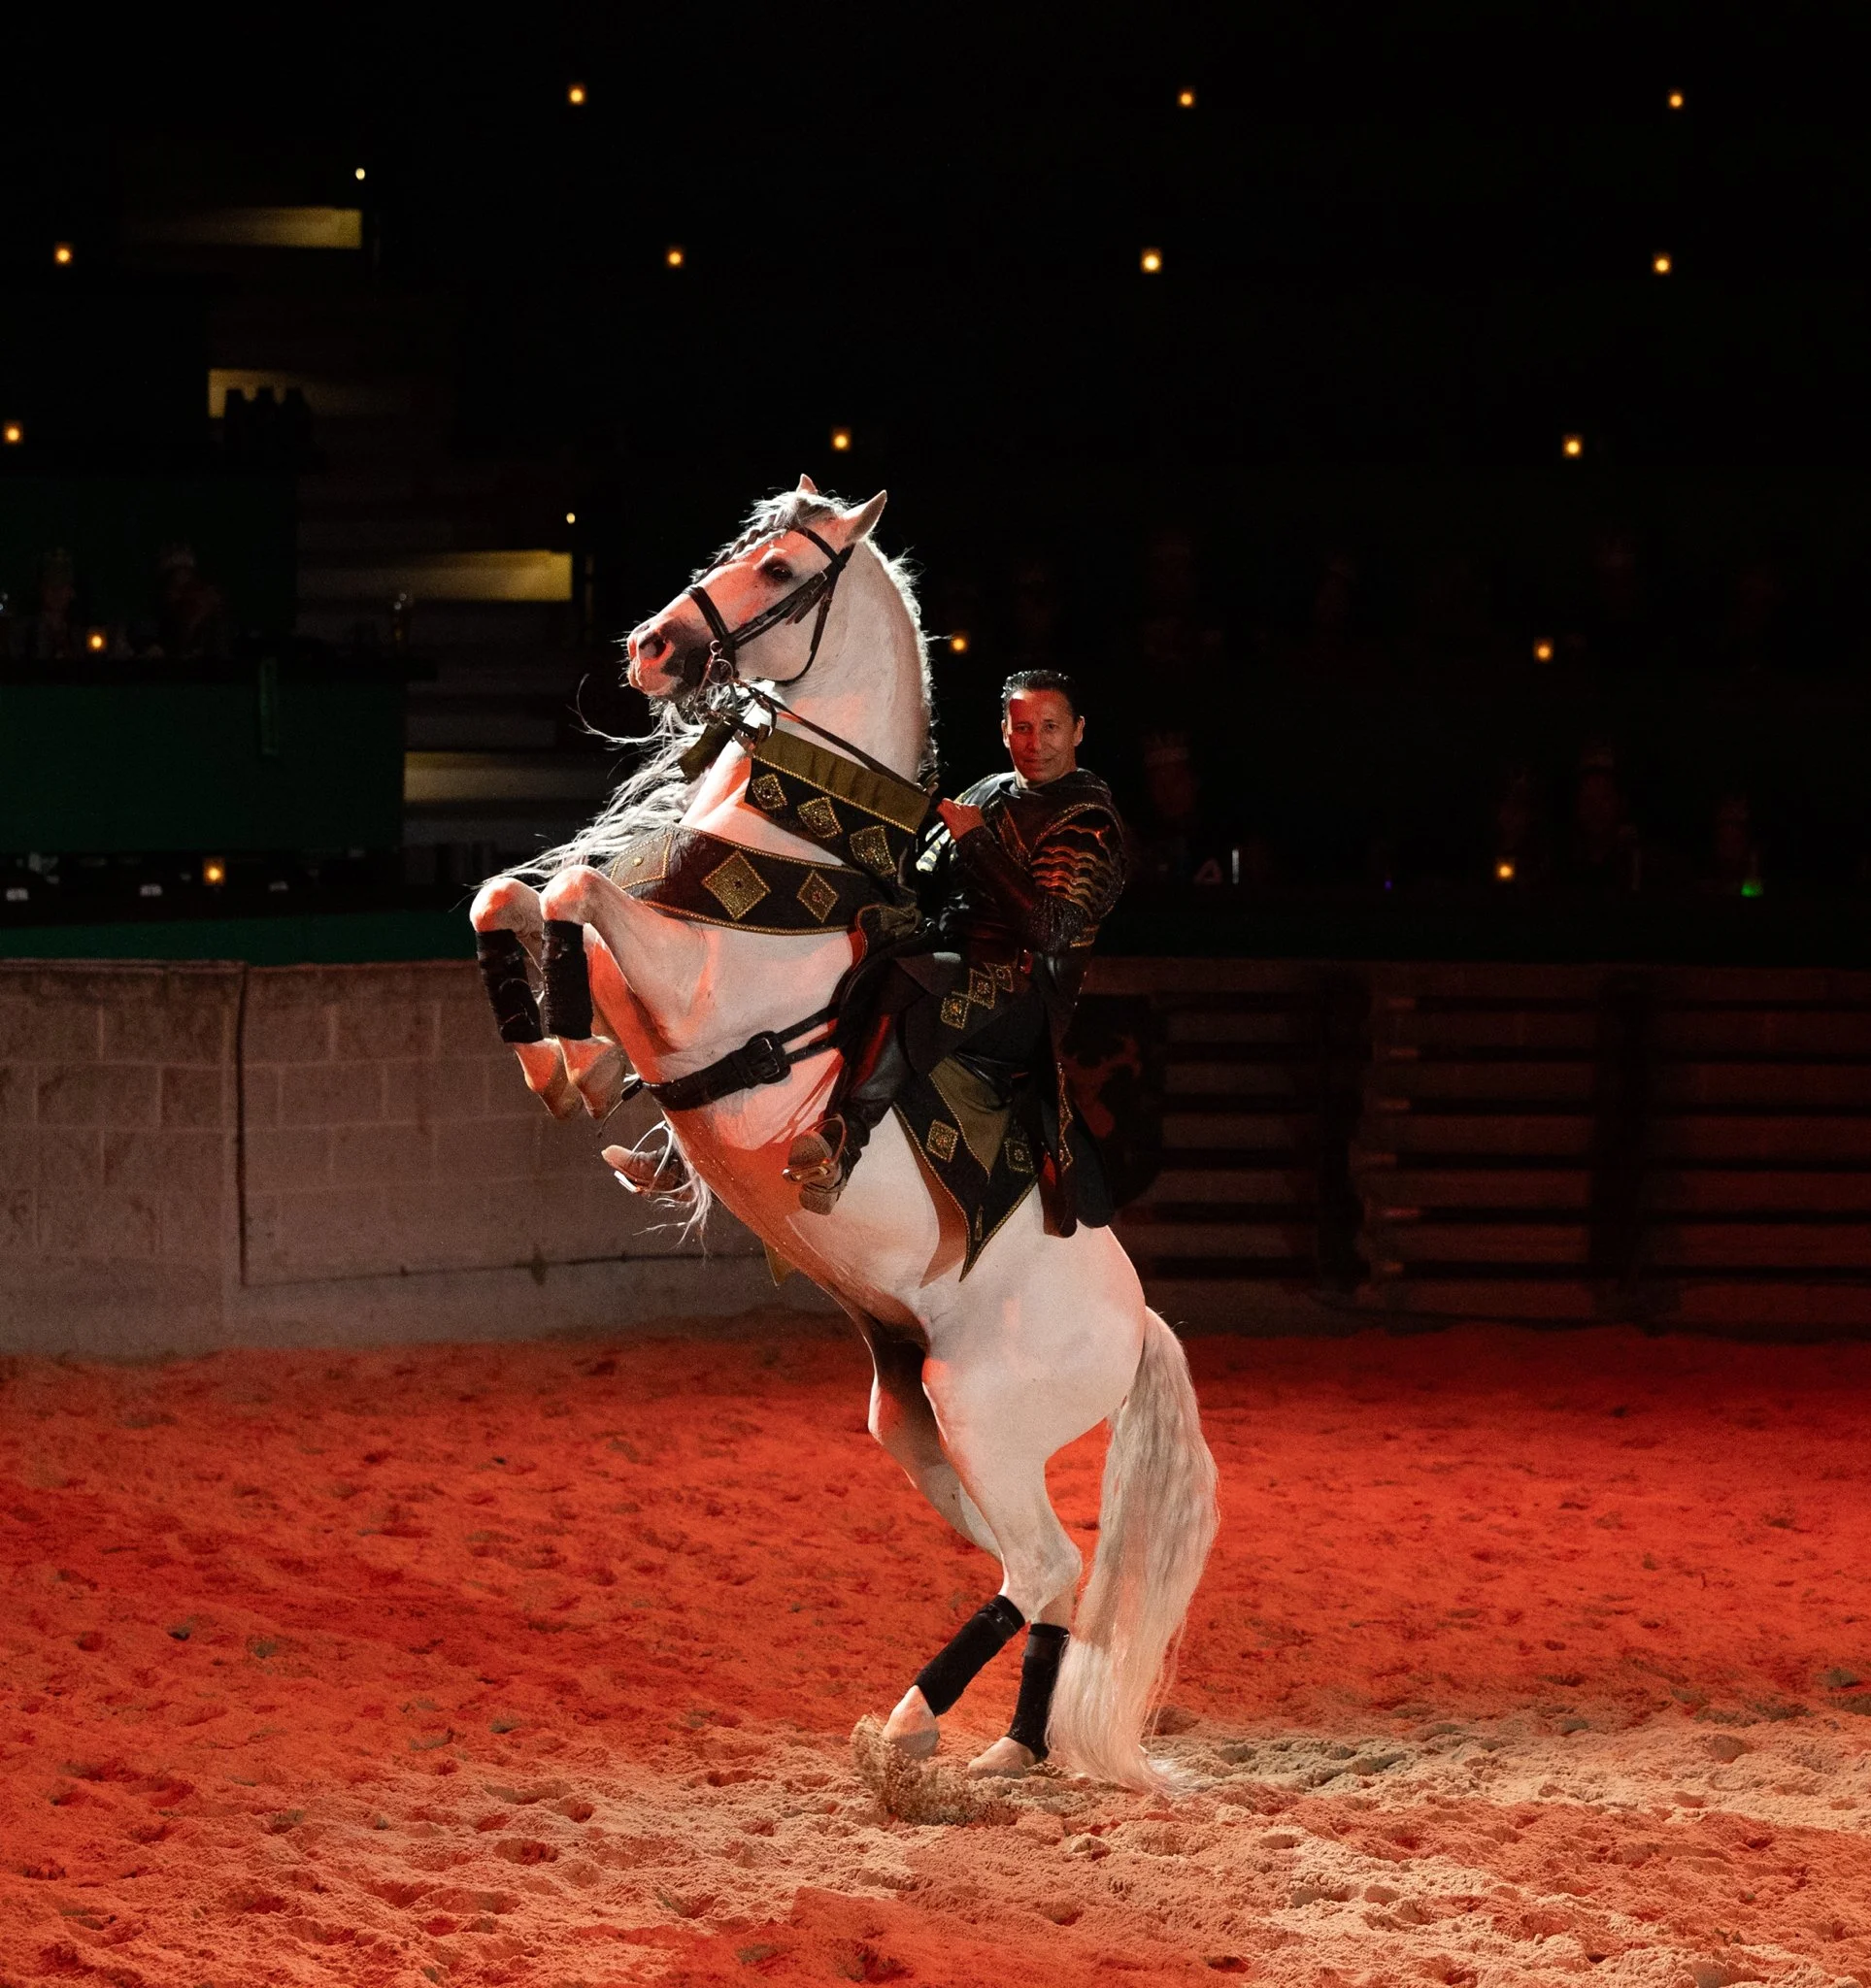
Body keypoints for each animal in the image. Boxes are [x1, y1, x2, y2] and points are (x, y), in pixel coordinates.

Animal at [470, 481, 1217, 1790]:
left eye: (780, 571)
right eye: (739, 543)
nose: (651, 648)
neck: (802, 844)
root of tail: (1138, 1327)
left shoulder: (700, 1006)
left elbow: (568, 897)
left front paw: (561, 1051)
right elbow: (506, 897)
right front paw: (563, 1071)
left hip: (981, 1413)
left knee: (1043, 1563)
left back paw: (914, 1722)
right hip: (919, 1425)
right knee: (1048, 1571)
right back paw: (1005, 1748)